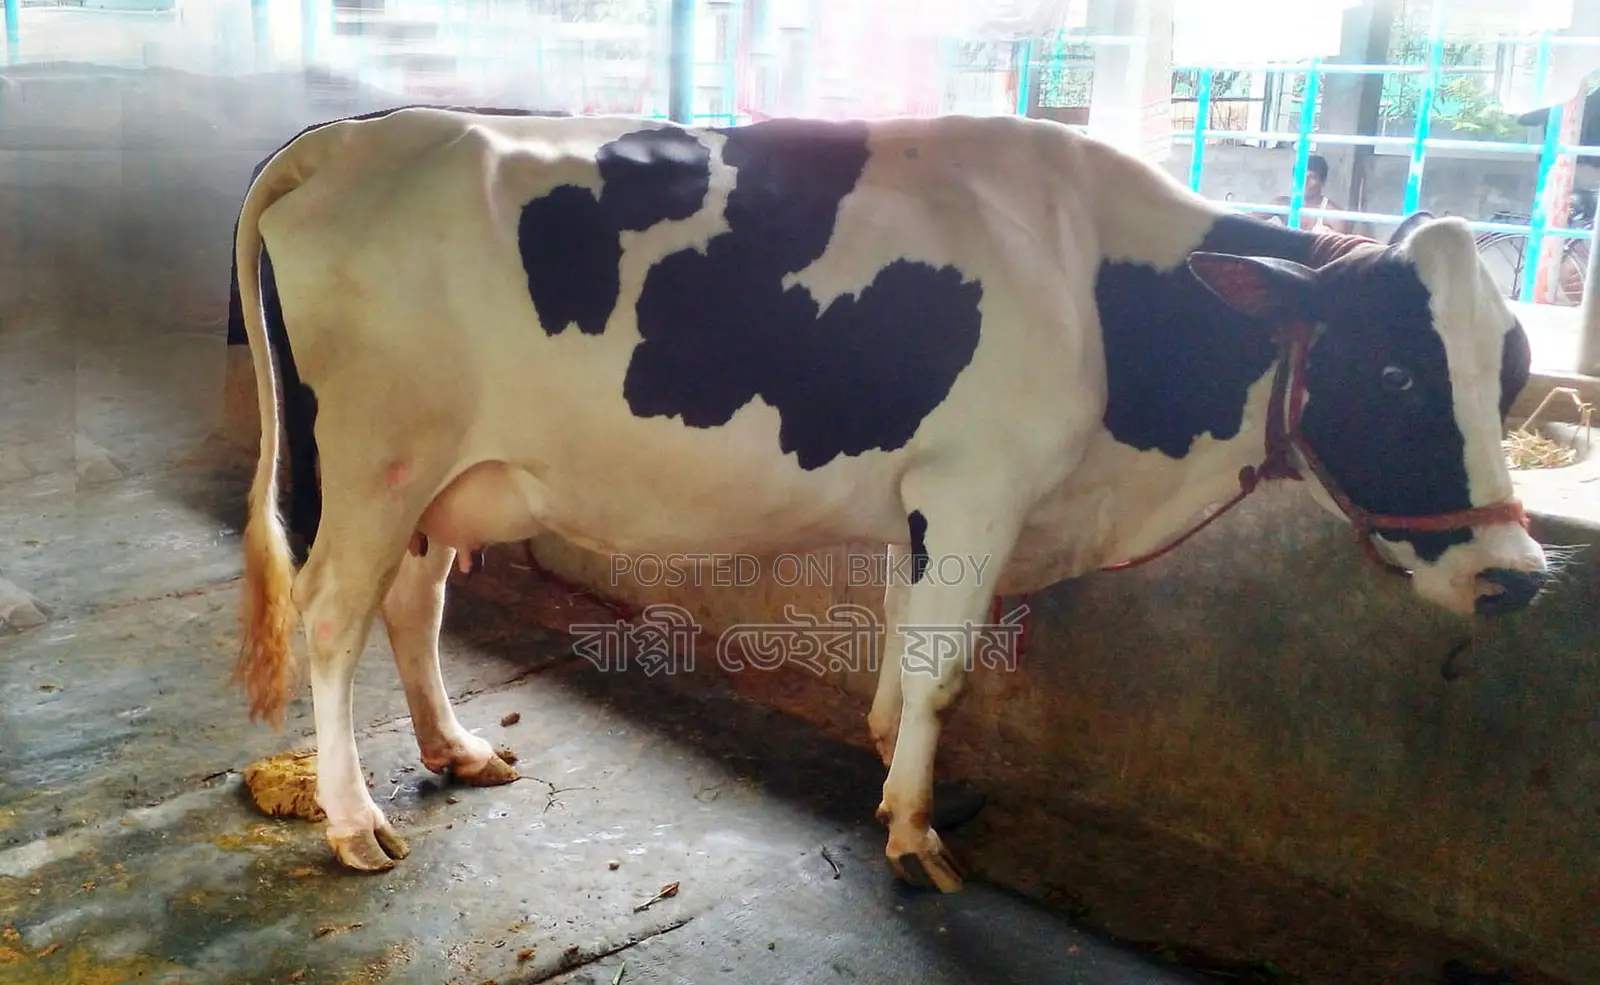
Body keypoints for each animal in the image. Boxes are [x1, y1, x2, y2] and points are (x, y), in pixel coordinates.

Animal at [229, 106, 1548, 892]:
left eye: (1509, 373)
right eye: (1392, 372)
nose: (1518, 577)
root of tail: (354, 135)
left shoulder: (932, 496)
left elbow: (906, 649)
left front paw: (886, 766)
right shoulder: (981, 487)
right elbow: (946, 668)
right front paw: (915, 831)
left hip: (437, 478)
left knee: (413, 606)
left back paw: (454, 751)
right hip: (370, 461)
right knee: (335, 619)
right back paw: (351, 820)